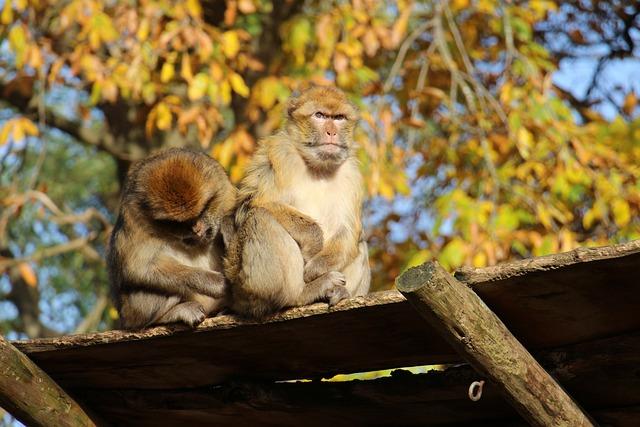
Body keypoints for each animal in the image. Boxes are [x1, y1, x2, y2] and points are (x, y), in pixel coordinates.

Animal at [107, 149, 238, 330]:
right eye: (177, 223)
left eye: (202, 211)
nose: (196, 229)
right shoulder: (134, 218)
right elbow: (139, 268)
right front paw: (217, 283)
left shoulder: (227, 193)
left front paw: (228, 226)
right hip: (133, 312)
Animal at [224, 85, 370, 320]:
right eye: (320, 115)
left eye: (339, 118)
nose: (332, 132)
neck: (318, 166)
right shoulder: (280, 154)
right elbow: (255, 204)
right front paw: (313, 244)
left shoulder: (351, 175)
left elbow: (348, 230)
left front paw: (315, 268)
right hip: (244, 284)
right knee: (261, 219)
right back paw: (303, 293)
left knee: (360, 240)